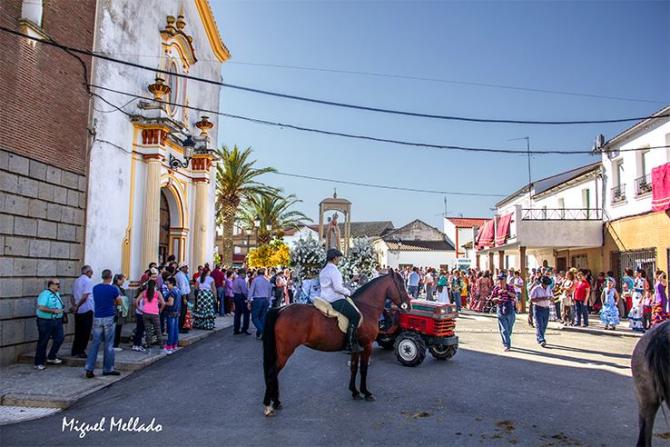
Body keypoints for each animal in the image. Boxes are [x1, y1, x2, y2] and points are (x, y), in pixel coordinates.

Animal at [261, 269, 411, 416]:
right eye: (401, 285)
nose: (408, 306)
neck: (366, 308)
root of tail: (281, 309)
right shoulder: (367, 345)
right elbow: (363, 369)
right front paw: (366, 392)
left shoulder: (356, 348)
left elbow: (354, 368)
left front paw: (355, 392)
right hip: (285, 351)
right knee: (272, 373)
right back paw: (268, 406)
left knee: (274, 374)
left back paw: (276, 402)